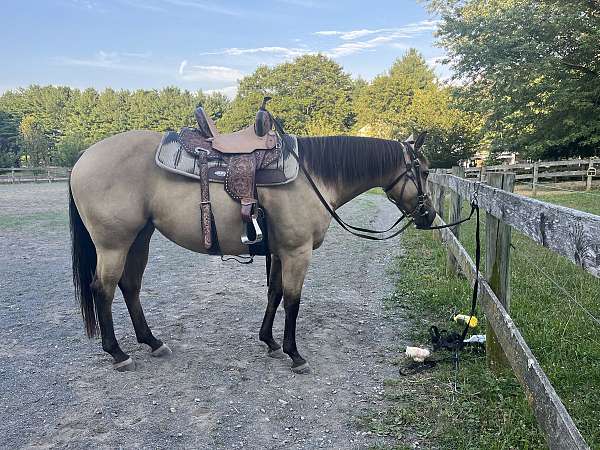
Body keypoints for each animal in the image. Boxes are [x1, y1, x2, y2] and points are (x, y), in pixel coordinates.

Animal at [69, 105, 436, 372]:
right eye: (425, 171)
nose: (430, 216)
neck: (312, 176)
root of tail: (83, 159)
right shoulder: (297, 252)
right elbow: (292, 301)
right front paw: (294, 354)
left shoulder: (281, 251)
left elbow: (274, 294)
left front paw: (270, 342)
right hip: (113, 244)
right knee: (102, 290)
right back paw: (118, 353)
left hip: (139, 238)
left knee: (130, 286)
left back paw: (153, 342)